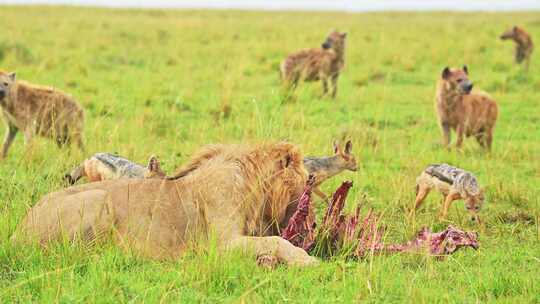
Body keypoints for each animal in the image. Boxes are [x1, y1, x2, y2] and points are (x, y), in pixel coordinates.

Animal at [12, 142, 318, 266]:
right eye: (308, 182)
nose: (314, 223)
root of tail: (18, 231)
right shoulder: (221, 244)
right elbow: (277, 240)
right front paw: (307, 260)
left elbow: (272, 240)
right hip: (98, 199)